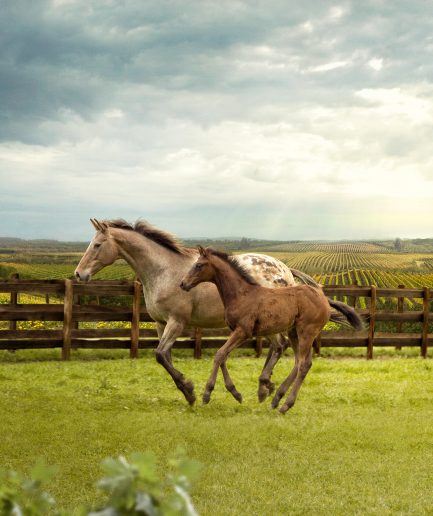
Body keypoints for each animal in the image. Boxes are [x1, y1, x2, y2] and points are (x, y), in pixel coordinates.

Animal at [73, 218, 318, 404]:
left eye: (97, 245)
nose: (78, 274)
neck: (163, 271)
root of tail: (285, 270)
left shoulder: (176, 322)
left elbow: (160, 354)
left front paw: (191, 390)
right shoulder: (161, 324)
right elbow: (165, 356)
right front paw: (188, 392)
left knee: (280, 346)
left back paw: (265, 386)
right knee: (279, 347)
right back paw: (265, 387)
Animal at [178, 247, 362, 416]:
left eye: (199, 265)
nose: (183, 283)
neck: (242, 294)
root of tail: (323, 298)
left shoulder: (243, 332)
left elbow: (219, 354)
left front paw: (207, 394)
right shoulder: (235, 331)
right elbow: (223, 356)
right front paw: (236, 393)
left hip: (307, 332)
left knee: (304, 364)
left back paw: (285, 404)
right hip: (294, 332)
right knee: (300, 361)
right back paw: (276, 398)